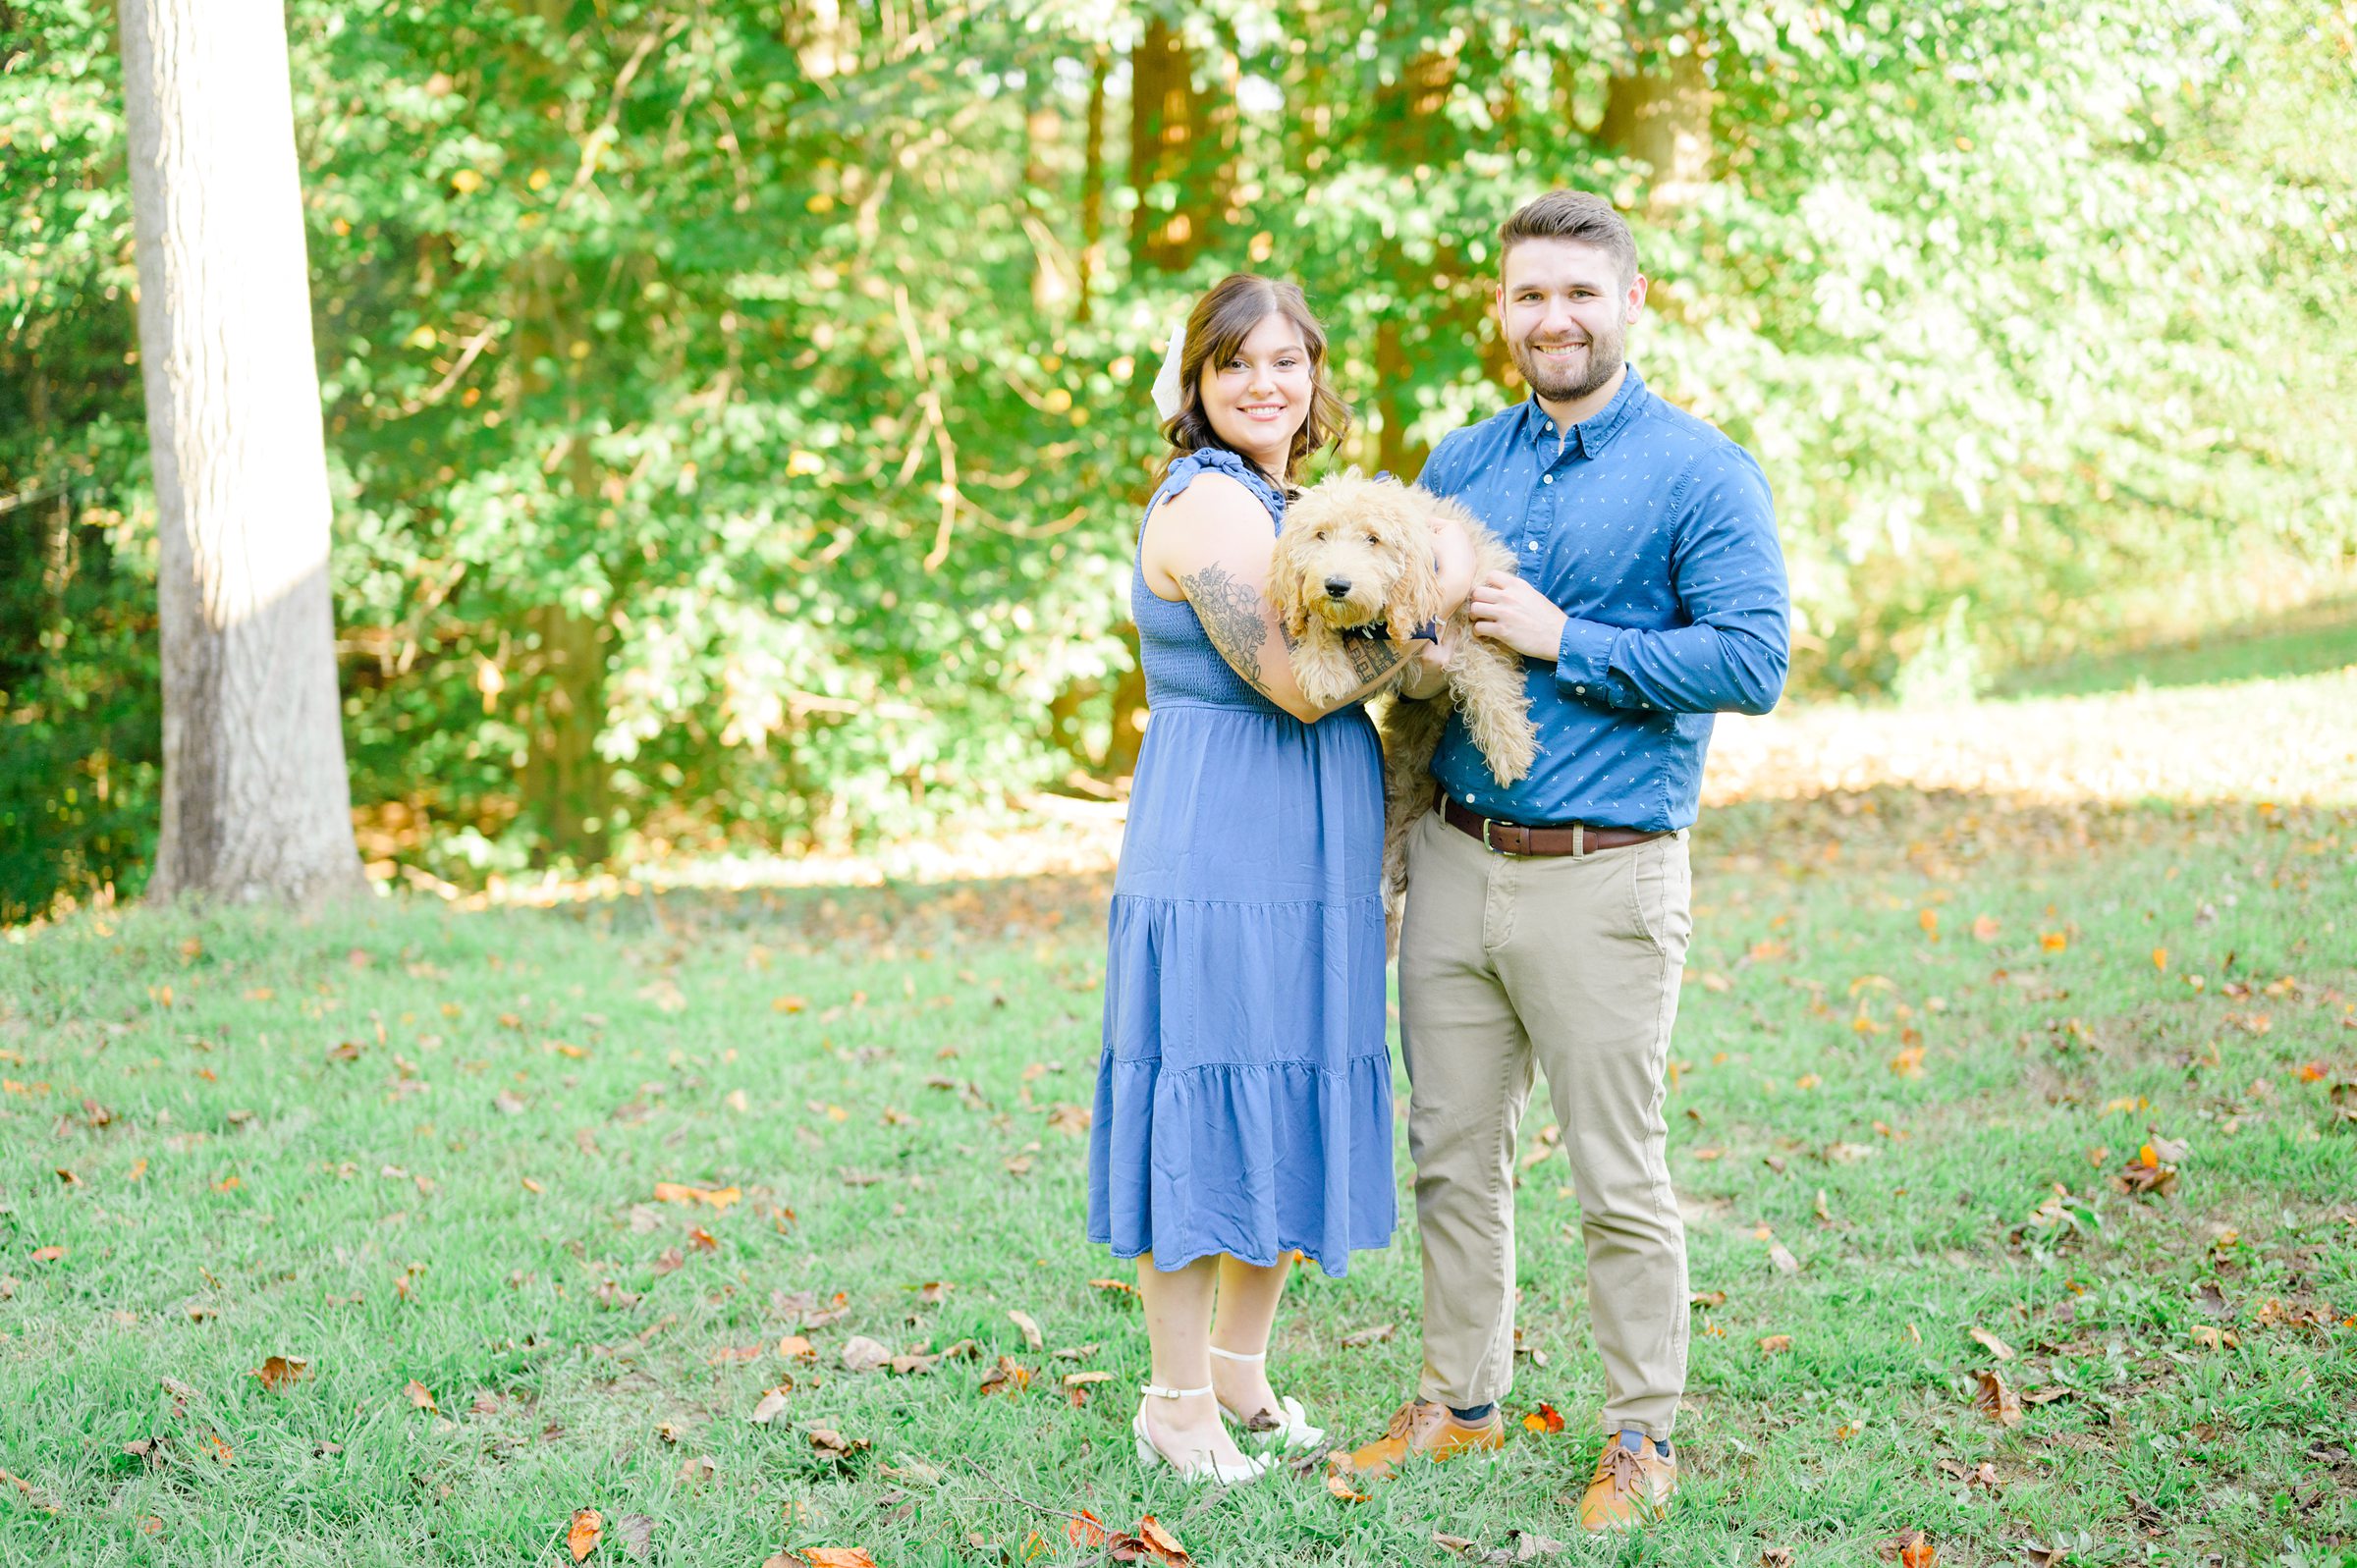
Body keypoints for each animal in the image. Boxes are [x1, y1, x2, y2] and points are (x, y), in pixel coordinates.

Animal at [1282, 471, 1536, 933]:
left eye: (1373, 539)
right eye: (1320, 535)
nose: (1336, 585)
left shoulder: (1471, 619)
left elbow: (1485, 675)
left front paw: (1510, 747)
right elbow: (1314, 619)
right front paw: (1323, 662)